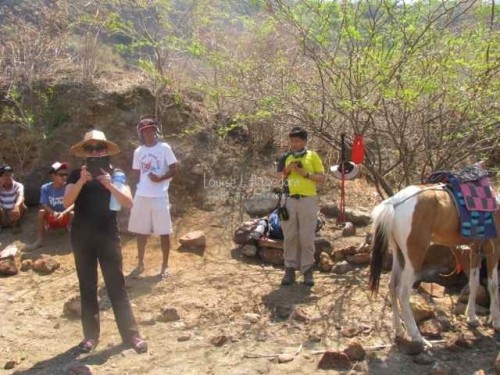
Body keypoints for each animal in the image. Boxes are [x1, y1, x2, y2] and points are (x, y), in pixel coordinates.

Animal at [368, 184, 500, 346]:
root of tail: (394, 202)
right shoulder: (494, 247)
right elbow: (493, 285)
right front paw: (496, 321)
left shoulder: (475, 249)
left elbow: (474, 283)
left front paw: (472, 317)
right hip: (415, 257)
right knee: (403, 293)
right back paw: (417, 336)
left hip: (399, 254)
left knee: (392, 287)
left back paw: (398, 330)